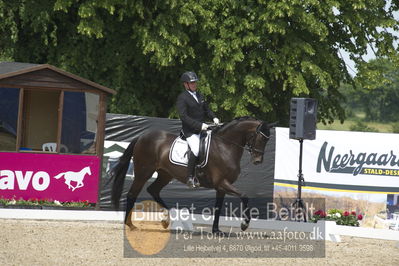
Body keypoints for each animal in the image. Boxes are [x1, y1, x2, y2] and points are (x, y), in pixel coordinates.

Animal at [111, 116, 276, 233]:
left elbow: (218, 207)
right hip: (143, 172)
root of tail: (141, 137)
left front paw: (216, 230)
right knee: (132, 194)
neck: (225, 146)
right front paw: (244, 224)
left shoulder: (221, 187)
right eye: (261, 137)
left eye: (267, 140)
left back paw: (167, 220)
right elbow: (245, 196)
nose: (257, 161)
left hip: (165, 174)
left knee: (153, 190)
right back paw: (131, 225)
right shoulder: (222, 183)